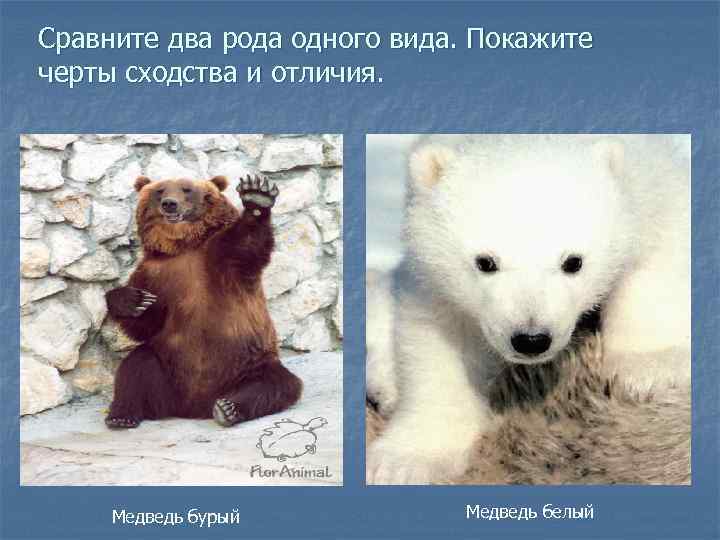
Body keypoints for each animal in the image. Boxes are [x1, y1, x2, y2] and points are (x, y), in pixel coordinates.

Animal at [104, 174, 302, 429]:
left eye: (186, 189)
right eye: (160, 190)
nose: (170, 203)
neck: (183, 246)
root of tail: (193, 407)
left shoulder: (222, 260)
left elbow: (248, 244)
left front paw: (257, 196)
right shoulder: (153, 274)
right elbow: (145, 323)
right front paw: (132, 300)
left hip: (249, 363)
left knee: (276, 384)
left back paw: (228, 408)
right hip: (168, 366)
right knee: (137, 366)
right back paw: (121, 415)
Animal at [366, 134, 690, 484]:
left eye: (573, 261)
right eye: (485, 262)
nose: (531, 339)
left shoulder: (652, 184)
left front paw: (651, 367)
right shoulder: (432, 276)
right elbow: (440, 343)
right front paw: (405, 463)